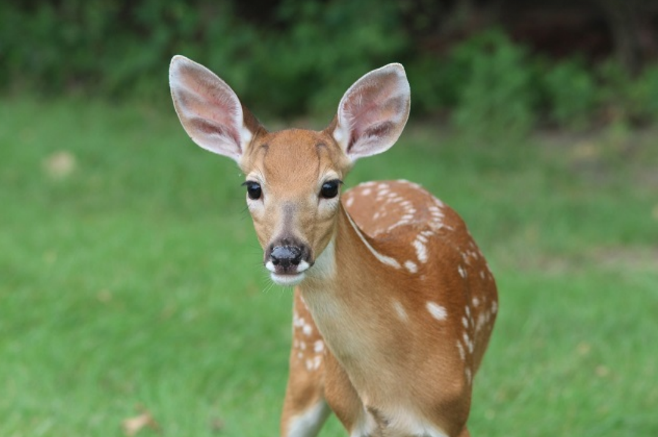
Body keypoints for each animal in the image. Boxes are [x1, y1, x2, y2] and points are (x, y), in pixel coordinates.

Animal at [169, 55, 498, 436]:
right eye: (253, 187)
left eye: (329, 186)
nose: (285, 254)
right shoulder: (354, 418)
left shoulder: (453, 414)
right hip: (305, 358)